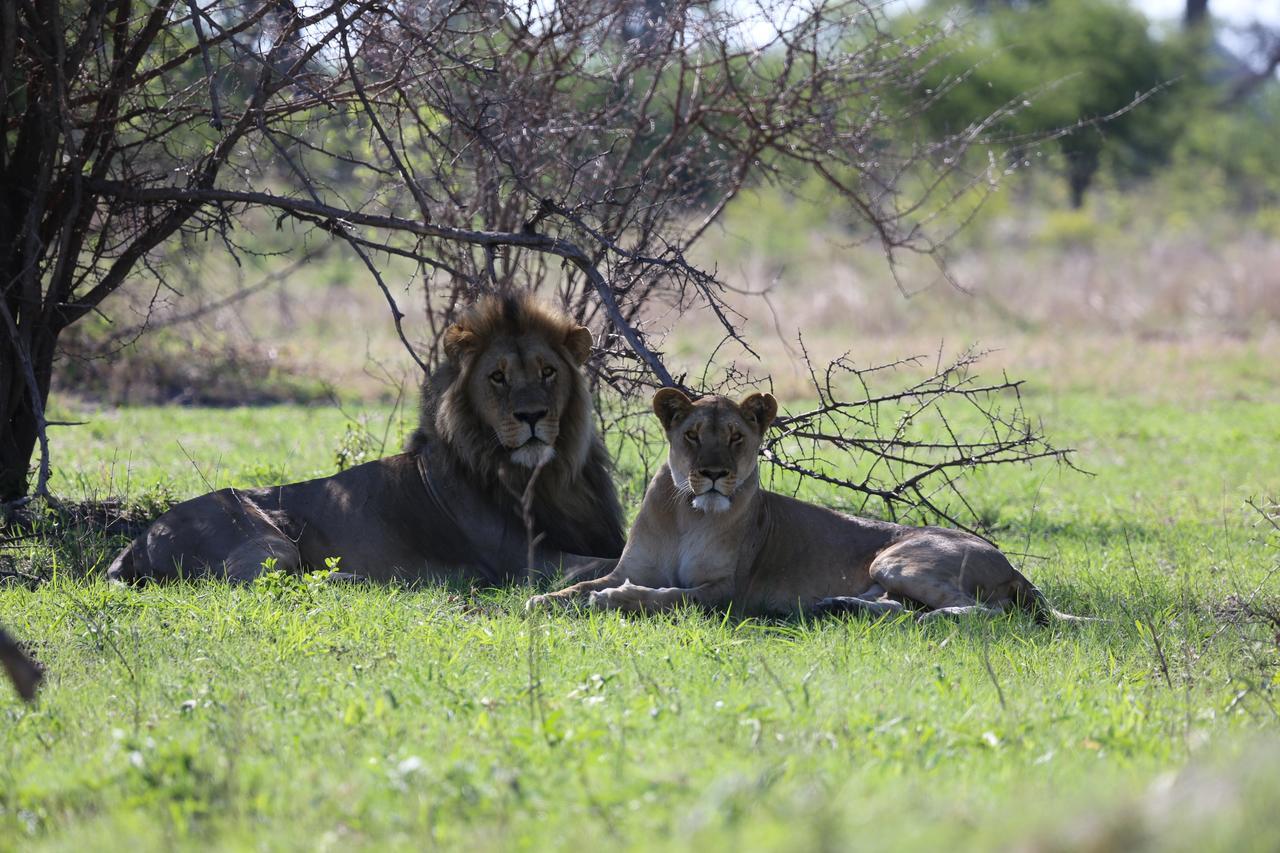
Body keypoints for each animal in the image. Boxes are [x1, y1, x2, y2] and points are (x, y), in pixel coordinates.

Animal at [108, 294, 624, 584]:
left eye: (548, 372)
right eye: (497, 377)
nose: (531, 415)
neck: (549, 475)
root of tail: (139, 540)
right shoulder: (522, 561)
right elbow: (601, 565)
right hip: (266, 542)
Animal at [527, 389, 1090, 622]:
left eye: (735, 438)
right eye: (692, 436)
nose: (714, 474)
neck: (689, 512)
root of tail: (1010, 563)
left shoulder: (725, 592)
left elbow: (665, 597)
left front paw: (614, 601)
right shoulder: (630, 565)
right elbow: (578, 585)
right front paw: (539, 602)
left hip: (898, 559)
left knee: (982, 612)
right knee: (895, 607)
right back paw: (836, 606)